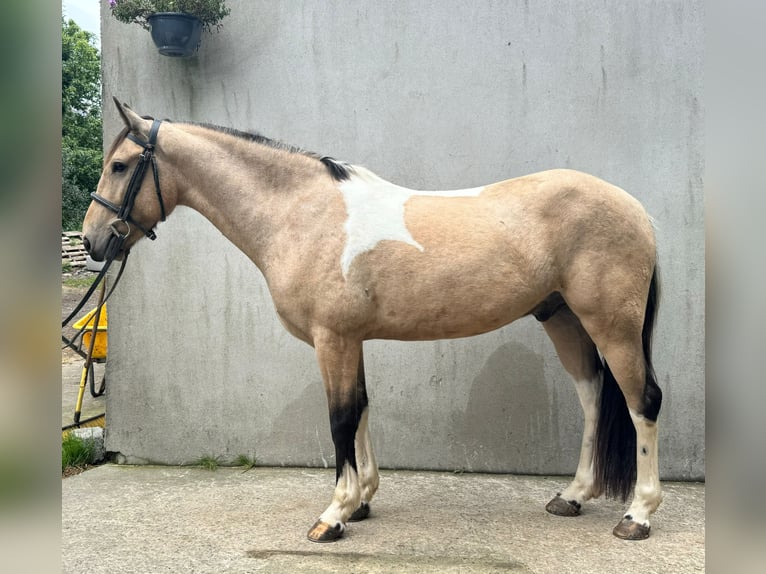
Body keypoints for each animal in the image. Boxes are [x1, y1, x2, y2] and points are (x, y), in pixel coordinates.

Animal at [81, 99, 664, 544]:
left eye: (121, 165)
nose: (92, 241)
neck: (303, 214)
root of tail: (636, 209)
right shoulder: (349, 339)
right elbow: (360, 408)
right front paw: (361, 503)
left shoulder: (332, 338)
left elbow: (340, 417)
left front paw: (333, 516)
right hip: (561, 317)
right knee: (593, 395)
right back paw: (572, 496)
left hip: (611, 323)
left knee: (642, 401)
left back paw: (637, 515)